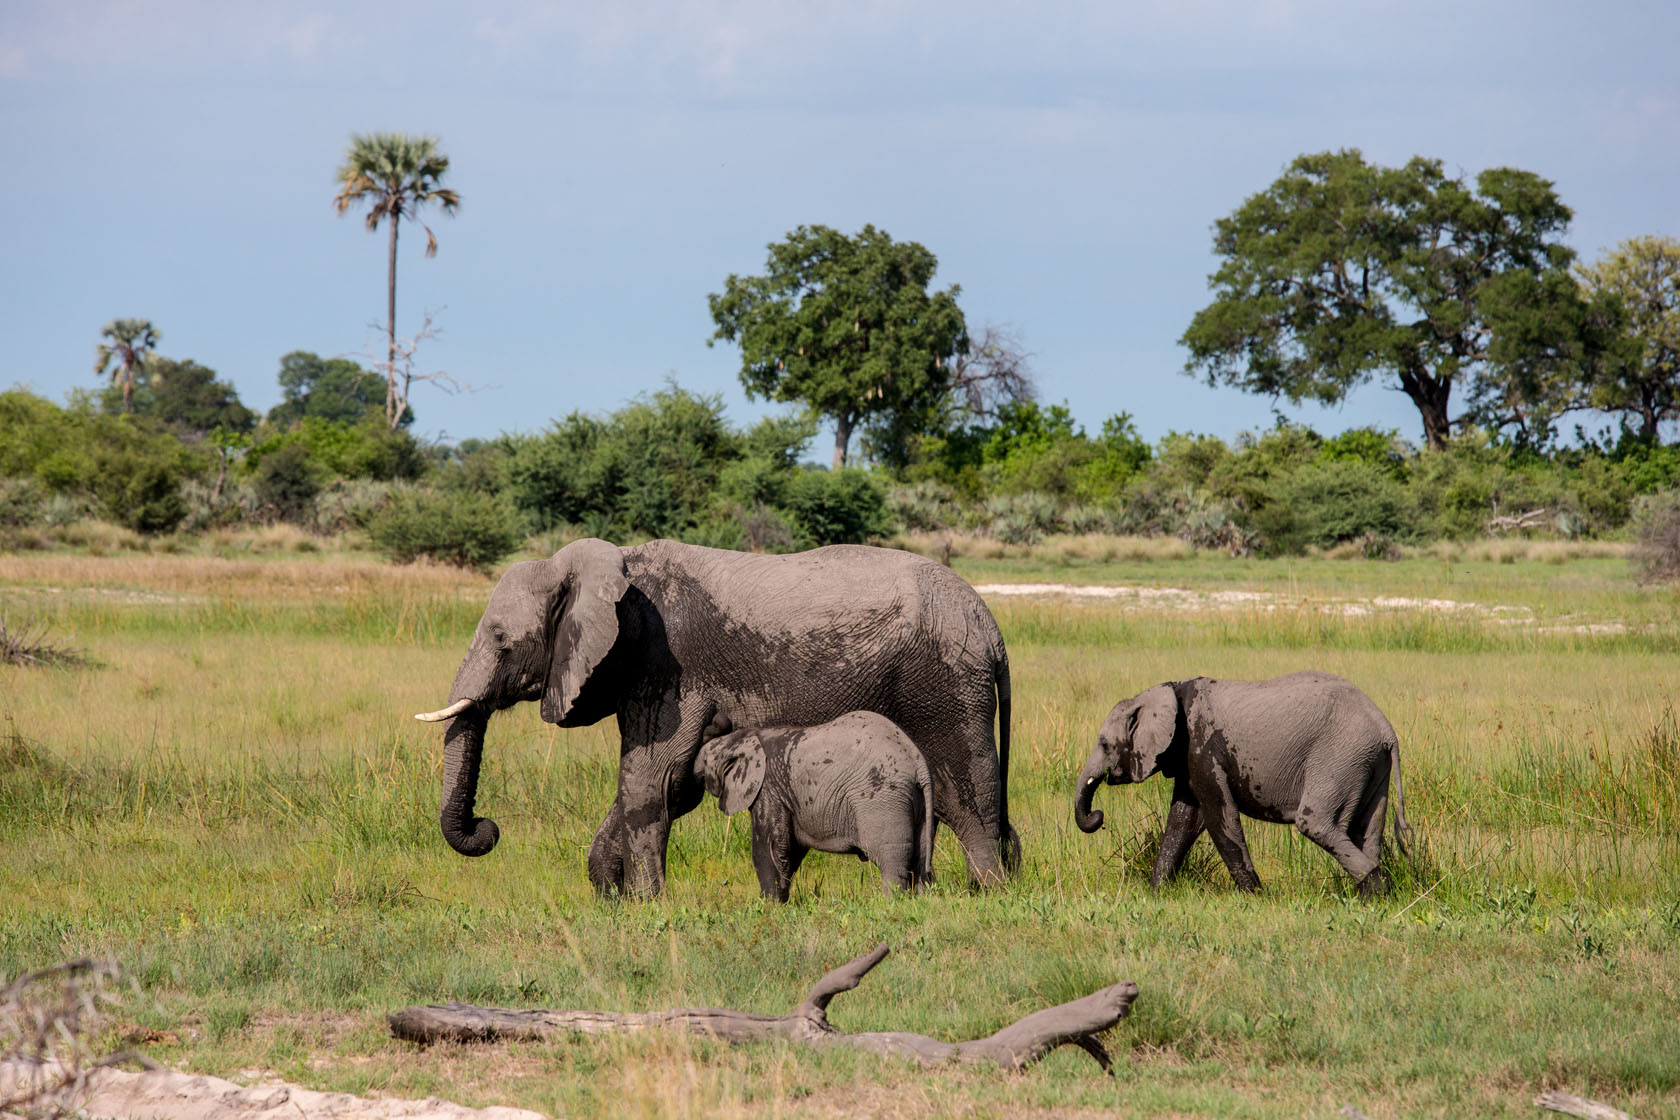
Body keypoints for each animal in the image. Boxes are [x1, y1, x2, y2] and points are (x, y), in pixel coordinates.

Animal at [694, 710, 934, 901]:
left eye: (705, 762)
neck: (747, 737)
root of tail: (918, 763)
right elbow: (790, 849)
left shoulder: (768, 789)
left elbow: (768, 846)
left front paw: (769, 906)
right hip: (918, 805)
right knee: (921, 860)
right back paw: (920, 901)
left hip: (883, 798)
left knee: (892, 862)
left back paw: (890, 904)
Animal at [1073, 670, 1412, 897]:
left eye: (1104, 745)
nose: (1098, 816)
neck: (1166, 691)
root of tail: (1387, 731)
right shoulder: (1189, 754)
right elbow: (1184, 820)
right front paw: (1157, 893)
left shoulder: (1203, 746)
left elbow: (1218, 816)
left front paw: (1256, 897)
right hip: (1368, 762)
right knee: (1366, 830)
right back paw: (1371, 898)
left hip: (1340, 755)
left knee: (1316, 823)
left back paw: (1376, 892)